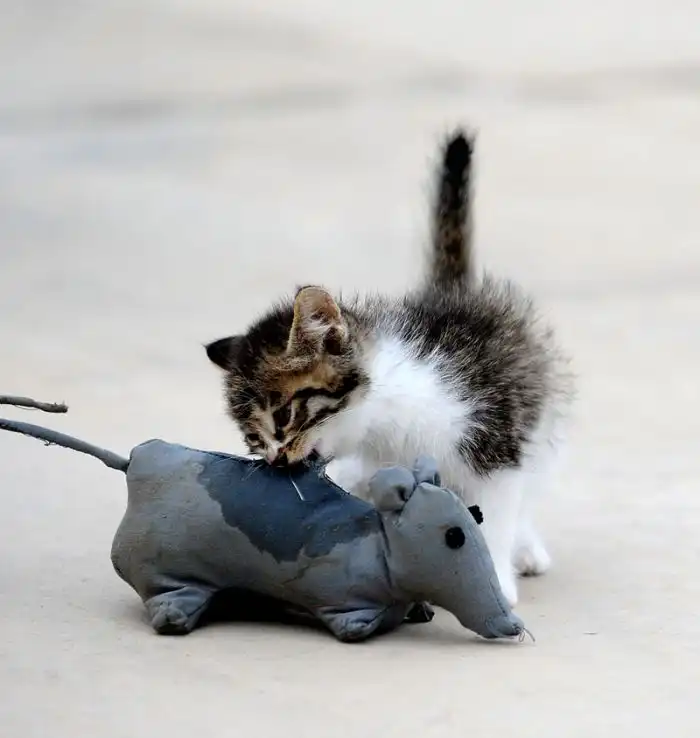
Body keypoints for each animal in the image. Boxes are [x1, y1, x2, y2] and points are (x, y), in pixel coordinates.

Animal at [204, 130, 573, 605]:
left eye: (283, 416)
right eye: (252, 439)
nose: (275, 460)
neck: (385, 420)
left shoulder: (495, 440)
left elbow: (498, 508)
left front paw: (494, 578)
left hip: (540, 416)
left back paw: (526, 548)